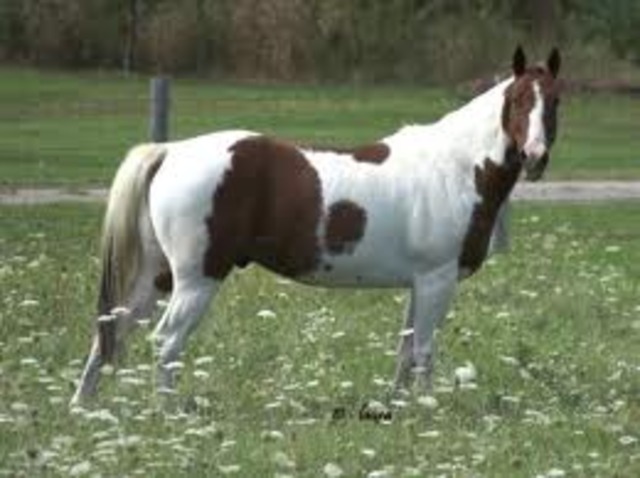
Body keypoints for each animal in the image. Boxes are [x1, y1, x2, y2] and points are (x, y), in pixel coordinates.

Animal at [70, 46, 561, 406]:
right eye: (519, 101)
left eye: (555, 101)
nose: (536, 157)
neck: (456, 166)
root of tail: (170, 151)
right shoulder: (437, 279)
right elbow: (423, 352)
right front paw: (429, 411)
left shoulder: (419, 283)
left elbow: (405, 351)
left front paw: (397, 408)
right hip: (196, 280)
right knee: (166, 342)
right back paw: (168, 414)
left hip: (157, 276)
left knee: (111, 331)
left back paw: (84, 406)